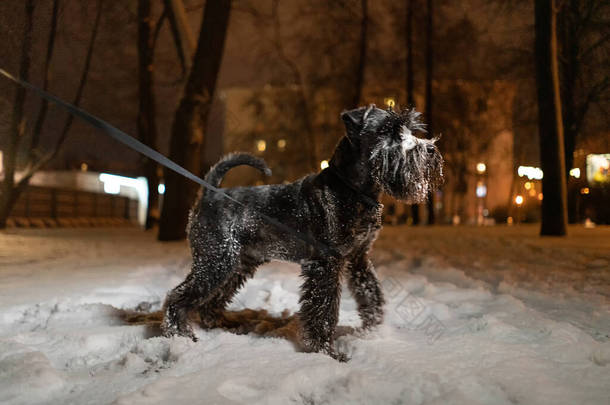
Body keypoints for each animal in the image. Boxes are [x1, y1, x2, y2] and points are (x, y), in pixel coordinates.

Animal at [160, 104, 442, 360]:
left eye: (409, 128)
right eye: (386, 130)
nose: (429, 149)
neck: (351, 189)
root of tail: (209, 194)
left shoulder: (358, 258)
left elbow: (370, 292)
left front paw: (373, 331)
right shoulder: (326, 263)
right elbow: (324, 311)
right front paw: (326, 352)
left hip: (236, 264)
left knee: (211, 299)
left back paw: (219, 326)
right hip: (216, 260)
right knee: (178, 296)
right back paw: (181, 335)